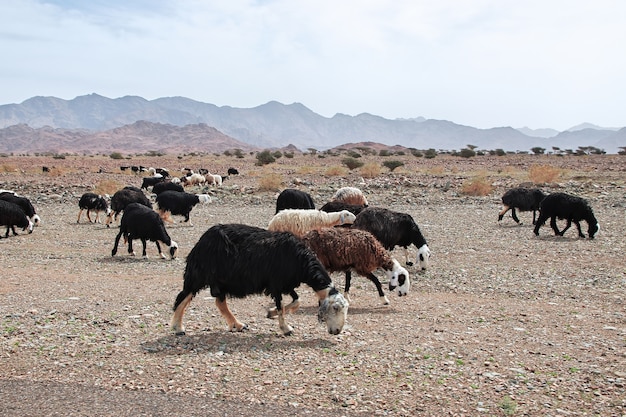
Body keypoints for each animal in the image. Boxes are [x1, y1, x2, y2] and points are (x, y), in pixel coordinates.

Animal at [169, 224, 346, 334]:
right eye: (335, 308)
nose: (337, 331)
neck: (299, 259)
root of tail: (201, 242)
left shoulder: (286, 284)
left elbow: (296, 301)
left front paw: (270, 313)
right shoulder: (276, 284)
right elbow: (282, 306)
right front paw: (285, 328)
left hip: (220, 282)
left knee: (220, 303)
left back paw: (238, 325)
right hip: (198, 275)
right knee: (182, 297)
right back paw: (178, 328)